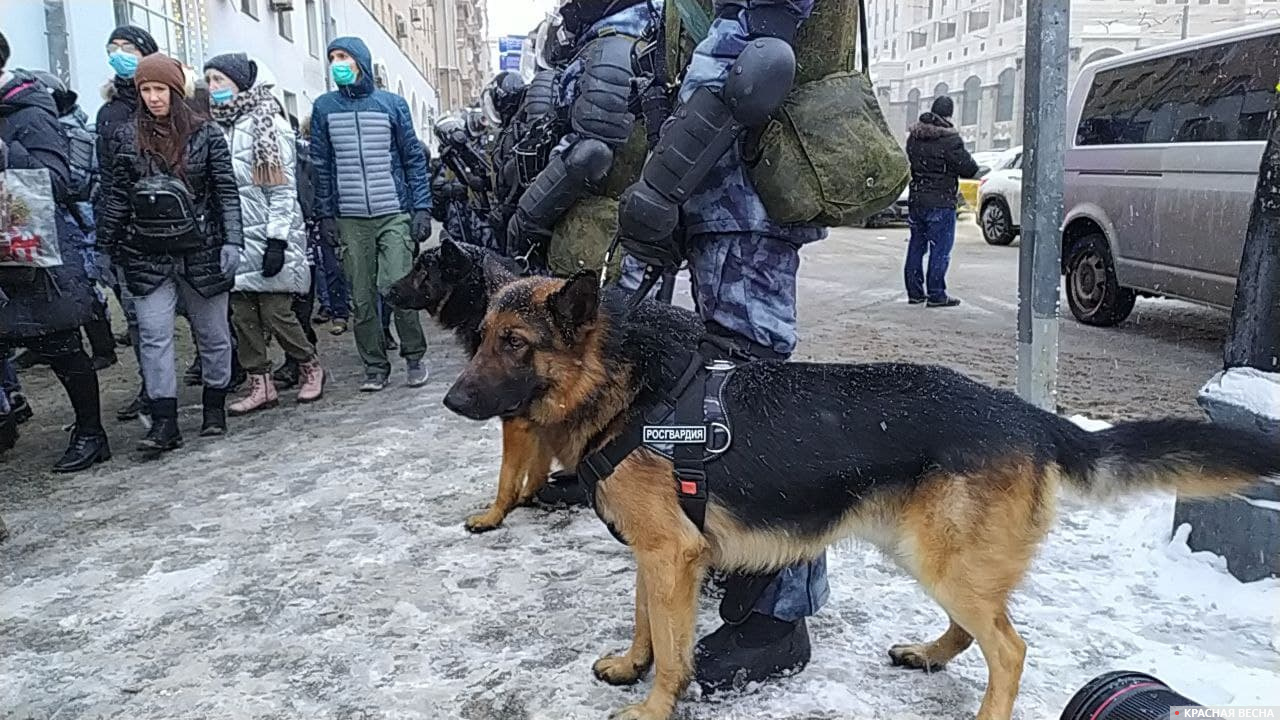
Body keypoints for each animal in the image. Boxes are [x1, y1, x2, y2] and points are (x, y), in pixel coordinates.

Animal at [384, 238, 555, 530]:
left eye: (422, 271)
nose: (386, 290)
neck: (479, 298)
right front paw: (529, 494)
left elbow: (508, 475)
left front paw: (495, 514)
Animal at [445, 269, 1280, 717]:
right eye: (481, 337)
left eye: (517, 345)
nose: (453, 401)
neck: (626, 384)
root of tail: (1030, 416)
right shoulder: (657, 559)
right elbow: (648, 627)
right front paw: (629, 665)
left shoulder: (672, 555)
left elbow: (677, 652)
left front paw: (653, 703)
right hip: (931, 555)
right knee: (979, 629)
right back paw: (929, 654)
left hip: (943, 559)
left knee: (1010, 647)